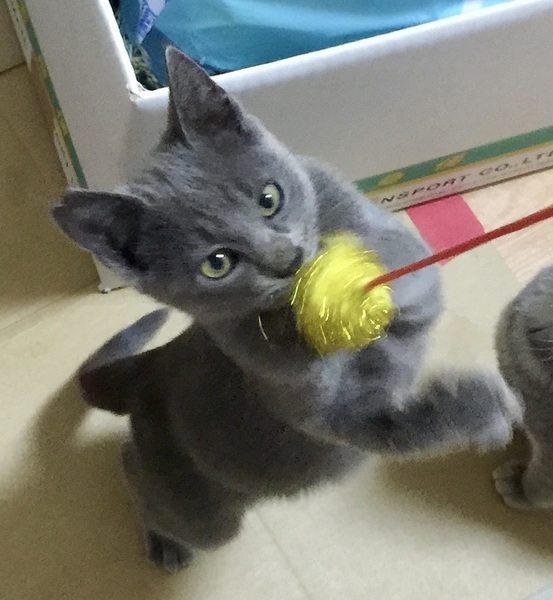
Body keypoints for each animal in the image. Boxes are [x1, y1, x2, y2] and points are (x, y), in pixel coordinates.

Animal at [51, 47, 521, 572]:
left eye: (269, 198)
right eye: (216, 263)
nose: (287, 260)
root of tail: (150, 366)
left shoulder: (406, 262)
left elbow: (411, 270)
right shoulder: (321, 410)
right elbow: (391, 423)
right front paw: (481, 409)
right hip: (199, 507)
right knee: (139, 475)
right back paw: (164, 545)